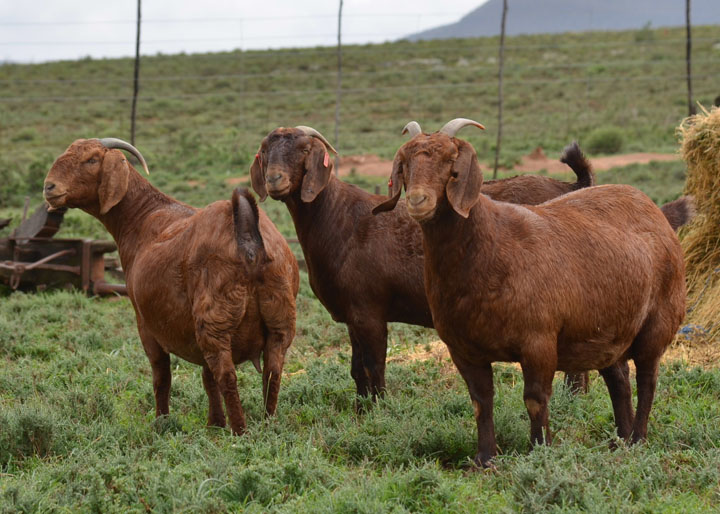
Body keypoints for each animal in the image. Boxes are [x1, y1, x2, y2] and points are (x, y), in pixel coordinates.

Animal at [43, 138, 299, 435]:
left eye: (92, 160)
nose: (49, 187)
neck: (143, 217)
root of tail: (247, 235)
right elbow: (206, 378)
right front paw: (214, 423)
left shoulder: (145, 324)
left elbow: (161, 376)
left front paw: (162, 421)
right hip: (279, 320)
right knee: (272, 372)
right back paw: (268, 425)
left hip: (216, 320)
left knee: (227, 375)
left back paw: (240, 432)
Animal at [249, 125, 596, 404]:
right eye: (264, 151)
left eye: (304, 150)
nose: (275, 179)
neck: (338, 217)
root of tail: (572, 186)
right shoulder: (351, 315)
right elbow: (357, 369)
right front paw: (361, 410)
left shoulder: (369, 311)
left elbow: (374, 366)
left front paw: (379, 410)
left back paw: (572, 403)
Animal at [374, 118, 686, 467]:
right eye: (405, 163)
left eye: (451, 164)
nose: (417, 201)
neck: (491, 246)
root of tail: (654, 211)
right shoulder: (463, 349)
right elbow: (481, 402)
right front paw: (485, 459)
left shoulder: (538, 342)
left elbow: (535, 399)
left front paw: (540, 450)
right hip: (609, 333)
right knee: (619, 381)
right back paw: (621, 441)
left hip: (657, 323)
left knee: (647, 380)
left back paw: (638, 439)